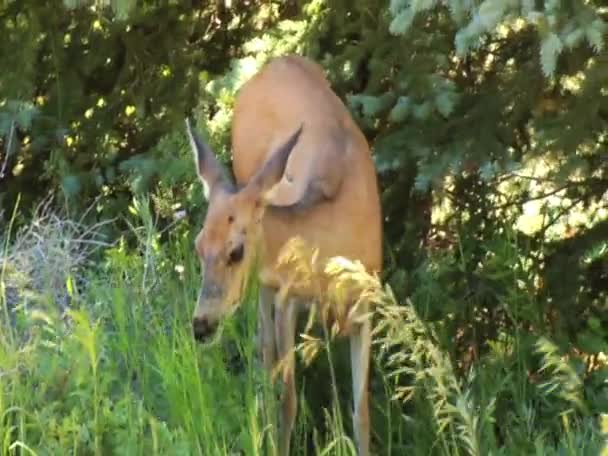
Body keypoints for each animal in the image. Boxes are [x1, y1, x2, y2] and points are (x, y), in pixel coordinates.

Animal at [185, 54, 382, 456]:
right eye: (198, 246)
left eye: (236, 250)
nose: (201, 324)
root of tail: (276, 61)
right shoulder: (286, 296)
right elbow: (288, 402)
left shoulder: (366, 302)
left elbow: (362, 413)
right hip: (266, 288)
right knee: (264, 351)